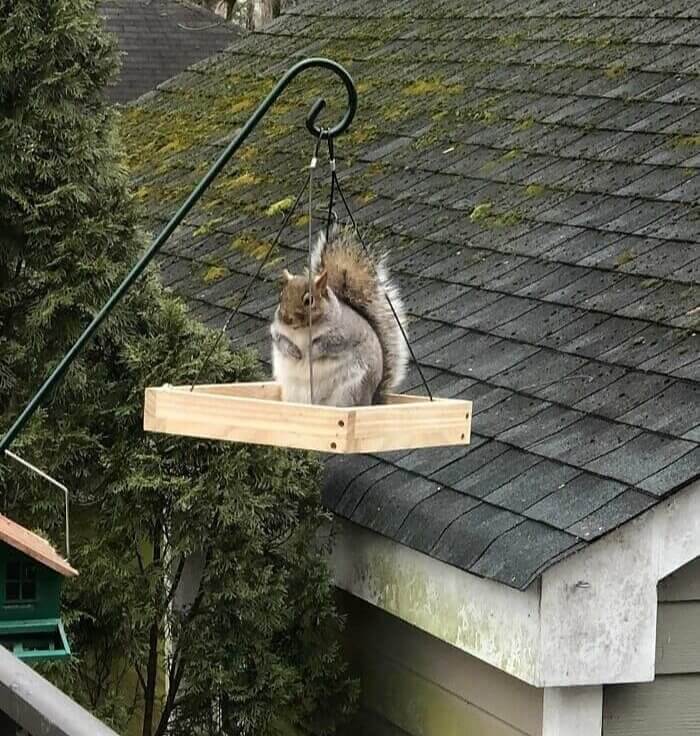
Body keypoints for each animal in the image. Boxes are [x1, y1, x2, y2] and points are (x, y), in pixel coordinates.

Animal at [270, 225, 408, 407]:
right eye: (281, 297)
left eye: (309, 300)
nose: (286, 318)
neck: (301, 329)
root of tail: (371, 401)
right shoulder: (278, 330)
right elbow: (280, 340)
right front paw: (293, 351)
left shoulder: (344, 333)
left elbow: (329, 344)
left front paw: (310, 352)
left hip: (351, 389)